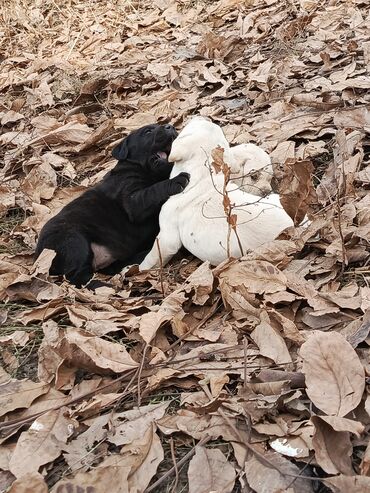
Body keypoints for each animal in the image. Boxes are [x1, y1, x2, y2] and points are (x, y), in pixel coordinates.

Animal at [35, 121, 189, 286]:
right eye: (148, 132)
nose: (170, 126)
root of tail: (38, 257)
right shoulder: (133, 201)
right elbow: (153, 190)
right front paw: (177, 180)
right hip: (73, 240)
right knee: (76, 277)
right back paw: (103, 286)